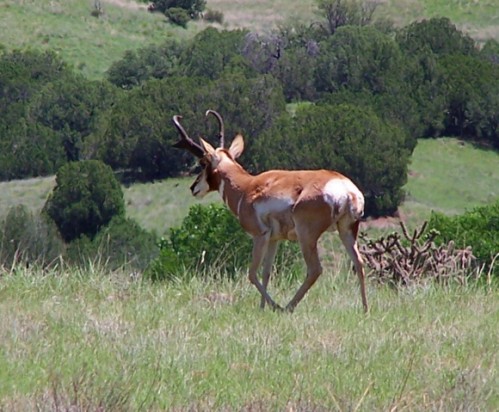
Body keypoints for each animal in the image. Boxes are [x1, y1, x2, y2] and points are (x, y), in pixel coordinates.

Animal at [174, 110, 370, 312]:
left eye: (203, 162)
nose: (193, 188)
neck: (247, 187)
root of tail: (345, 189)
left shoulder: (260, 236)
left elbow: (252, 273)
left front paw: (273, 306)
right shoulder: (274, 239)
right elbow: (266, 272)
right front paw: (262, 308)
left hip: (306, 236)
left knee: (315, 269)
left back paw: (287, 307)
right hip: (347, 231)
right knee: (359, 263)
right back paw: (365, 309)